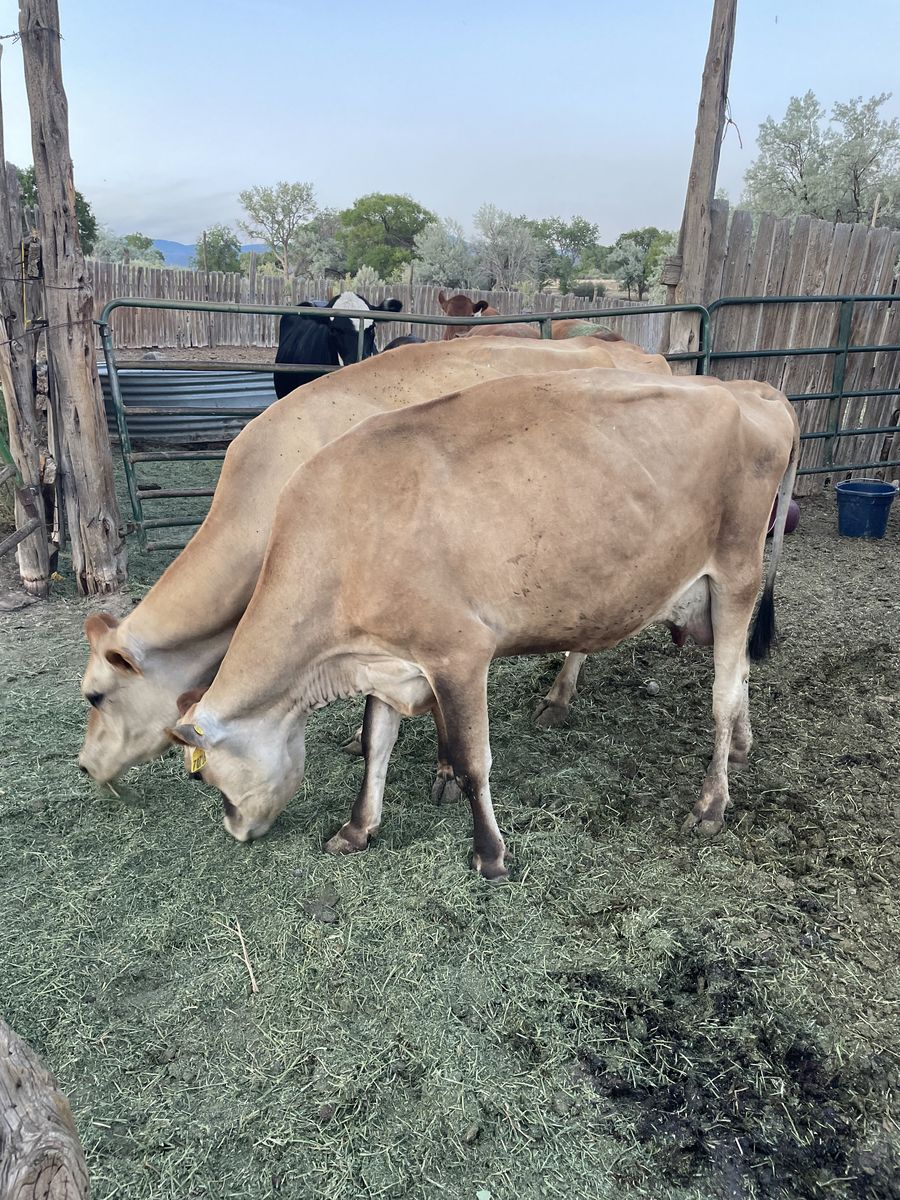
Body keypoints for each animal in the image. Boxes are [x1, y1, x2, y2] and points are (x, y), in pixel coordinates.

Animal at [170, 369, 800, 879]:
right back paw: (741, 749)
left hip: (737, 573)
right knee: (741, 672)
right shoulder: (386, 659)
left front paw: (490, 853)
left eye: (202, 777)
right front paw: (357, 827)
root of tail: (748, 390)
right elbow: (376, 744)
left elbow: (474, 761)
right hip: (712, 596)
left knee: (723, 693)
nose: (234, 830)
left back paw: (711, 803)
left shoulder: (458, 654)